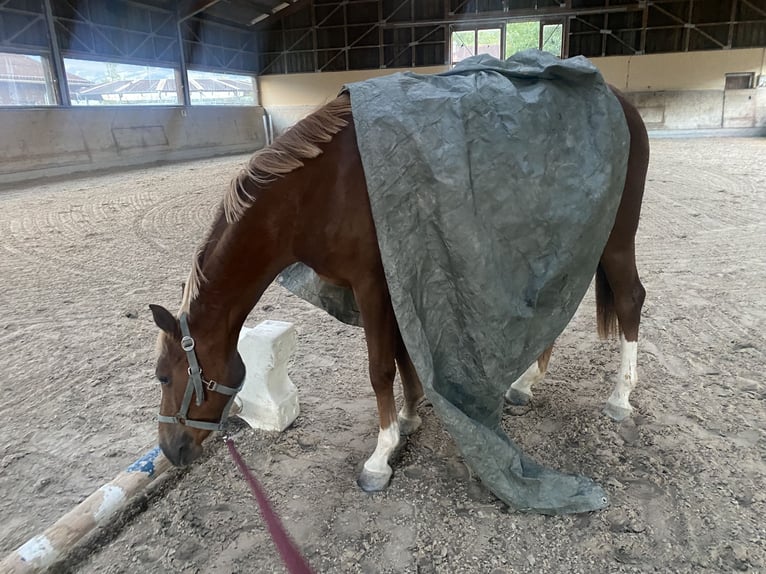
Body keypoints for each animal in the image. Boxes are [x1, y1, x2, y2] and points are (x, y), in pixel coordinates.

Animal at [148, 86, 648, 496]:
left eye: (164, 377)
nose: (171, 450)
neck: (317, 190)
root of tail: (622, 105)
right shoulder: (397, 277)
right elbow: (402, 352)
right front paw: (409, 416)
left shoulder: (372, 282)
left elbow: (379, 367)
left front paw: (380, 455)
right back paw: (525, 384)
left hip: (615, 239)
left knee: (629, 300)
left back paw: (619, 397)